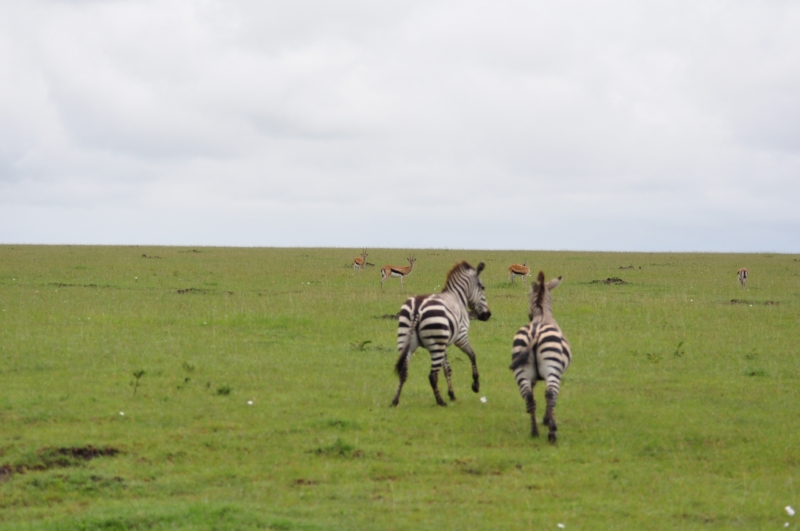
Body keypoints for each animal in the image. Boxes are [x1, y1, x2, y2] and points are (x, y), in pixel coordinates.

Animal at [391, 261, 491, 407]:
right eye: (482, 287)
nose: (487, 315)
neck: (457, 297)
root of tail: (418, 308)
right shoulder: (461, 337)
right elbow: (472, 355)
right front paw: (475, 385)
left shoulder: (445, 342)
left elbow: (447, 369)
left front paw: (452, 394)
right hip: (436, 346)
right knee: (432, 375)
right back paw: (440, 401)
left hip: (405, 340)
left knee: (403, 370)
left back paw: (395, 400)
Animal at [509, 271, 572, 443]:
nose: (529, 315)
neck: (542, 314)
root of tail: (535, 332)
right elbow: (548, 396)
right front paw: (547, 419)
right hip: (552, 368)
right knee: (551, 394)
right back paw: (552, 432)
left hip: (521, 370)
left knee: (529, 397)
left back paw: (534, 431)